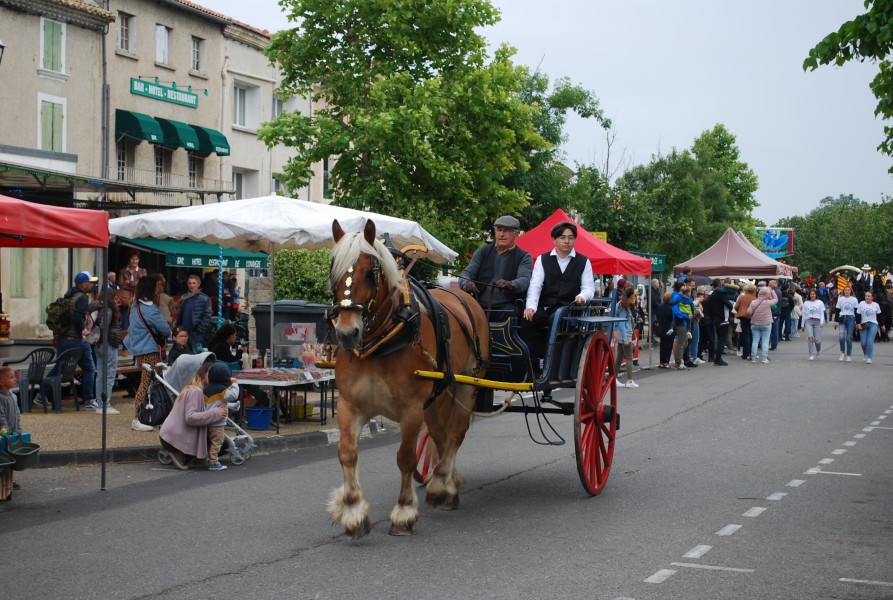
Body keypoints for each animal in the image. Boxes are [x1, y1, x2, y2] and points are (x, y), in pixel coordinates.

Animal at [328, 218, 492, 536]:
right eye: (334, 271)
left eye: (370, 273)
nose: (346, 333)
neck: (382, 342)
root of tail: (466, 296)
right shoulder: (348, 405)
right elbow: (347, 453)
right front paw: (353, 511)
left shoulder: (411, 409)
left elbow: (405, 457)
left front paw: (403, 512)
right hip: (440, 394)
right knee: (441, 435)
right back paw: (443, 480)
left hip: (467, 385)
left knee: (456, 432)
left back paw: (443, 487)